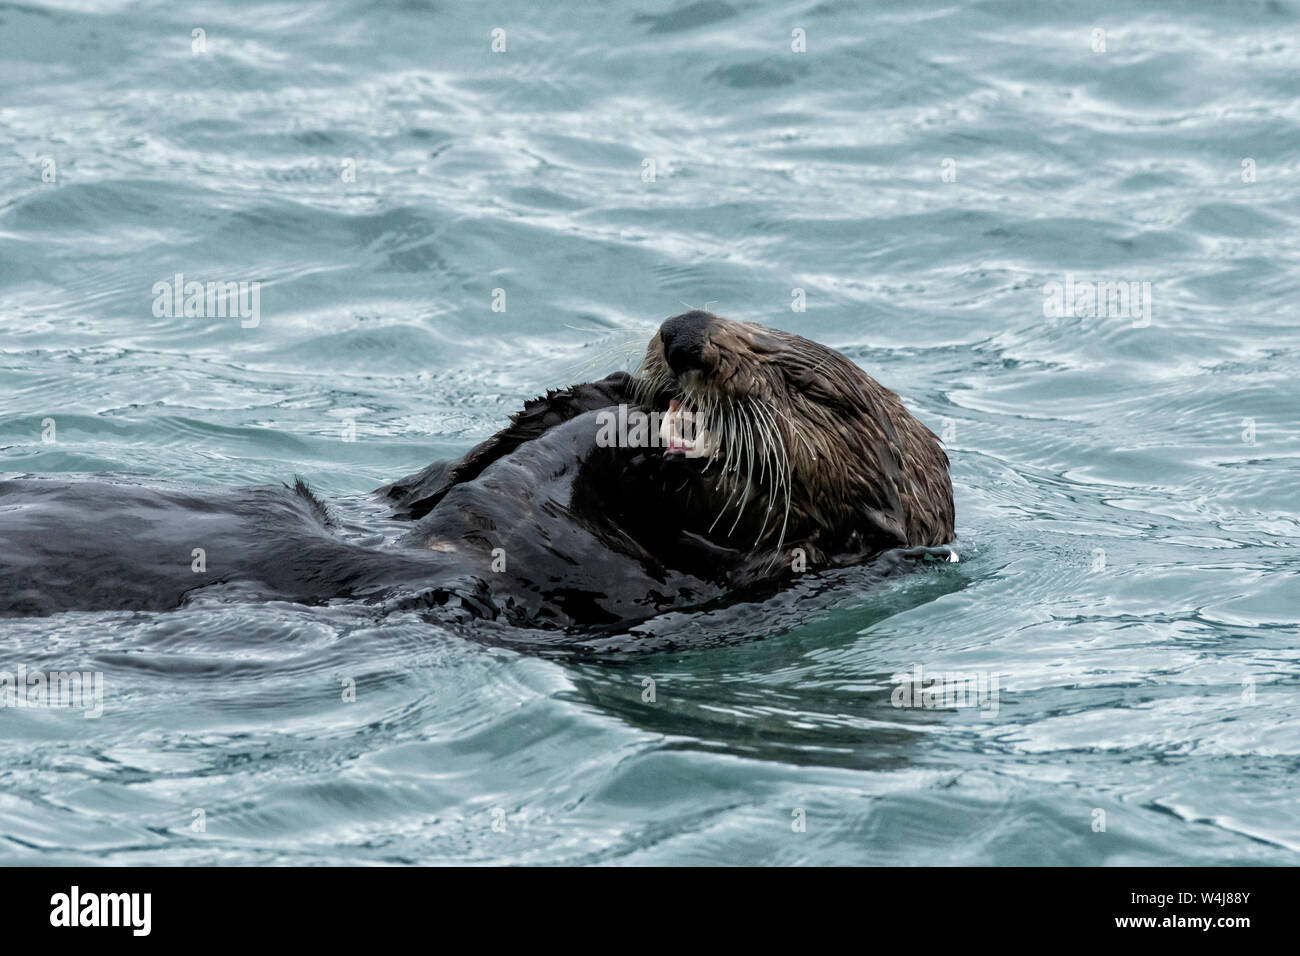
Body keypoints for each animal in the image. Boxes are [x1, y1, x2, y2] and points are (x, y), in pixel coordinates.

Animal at [0, 311, 954, 631]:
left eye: (806, 389)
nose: (683, 332)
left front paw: (624, 438)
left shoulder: (625, 591)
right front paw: (600, 396)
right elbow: (440, 476)